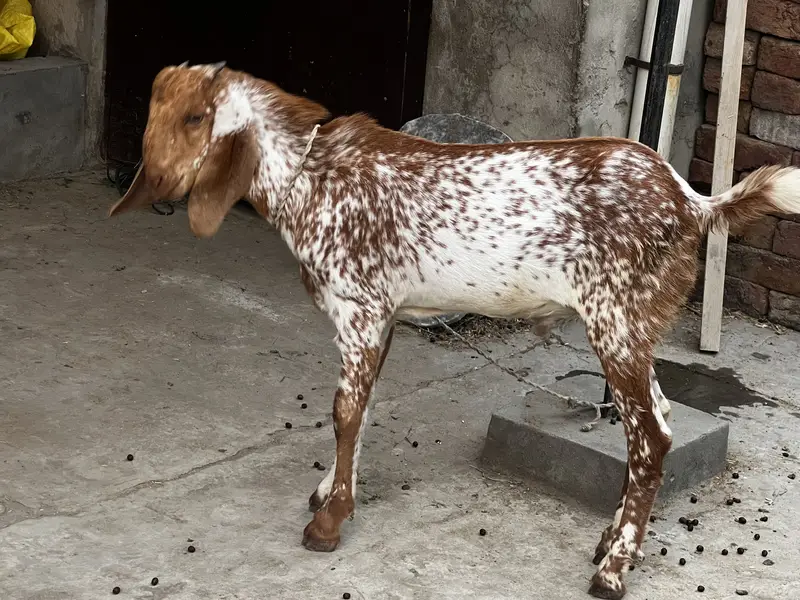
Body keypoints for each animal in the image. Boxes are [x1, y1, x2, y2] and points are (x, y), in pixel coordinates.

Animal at [108, 62, 800, 599]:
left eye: (196, 118)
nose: (155, 181)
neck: (310, 176)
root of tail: (694, 202)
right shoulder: (383, 315)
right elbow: (363, 408)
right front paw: (332, 490)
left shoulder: (359, 309)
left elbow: (343, 411)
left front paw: (330, 522)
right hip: (635, 328)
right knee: (660, 416)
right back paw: (609, 539)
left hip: (616, 322)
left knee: (651, 437)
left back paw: (612, 568)